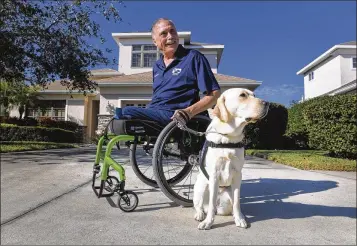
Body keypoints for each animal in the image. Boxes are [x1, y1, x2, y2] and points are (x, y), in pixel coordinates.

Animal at [193, 87, 268, 230]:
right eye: (242, 95)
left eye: (254, 95)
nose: (267, 103)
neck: (228, 137)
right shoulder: (214, 175)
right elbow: (211, 204)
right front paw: (208, 222)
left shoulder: (238, 175)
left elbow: (237, 203)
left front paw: (239, 219)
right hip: (200, 187)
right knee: (201, 206)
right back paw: (200, 214)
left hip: (228, 196)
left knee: (229, 206)